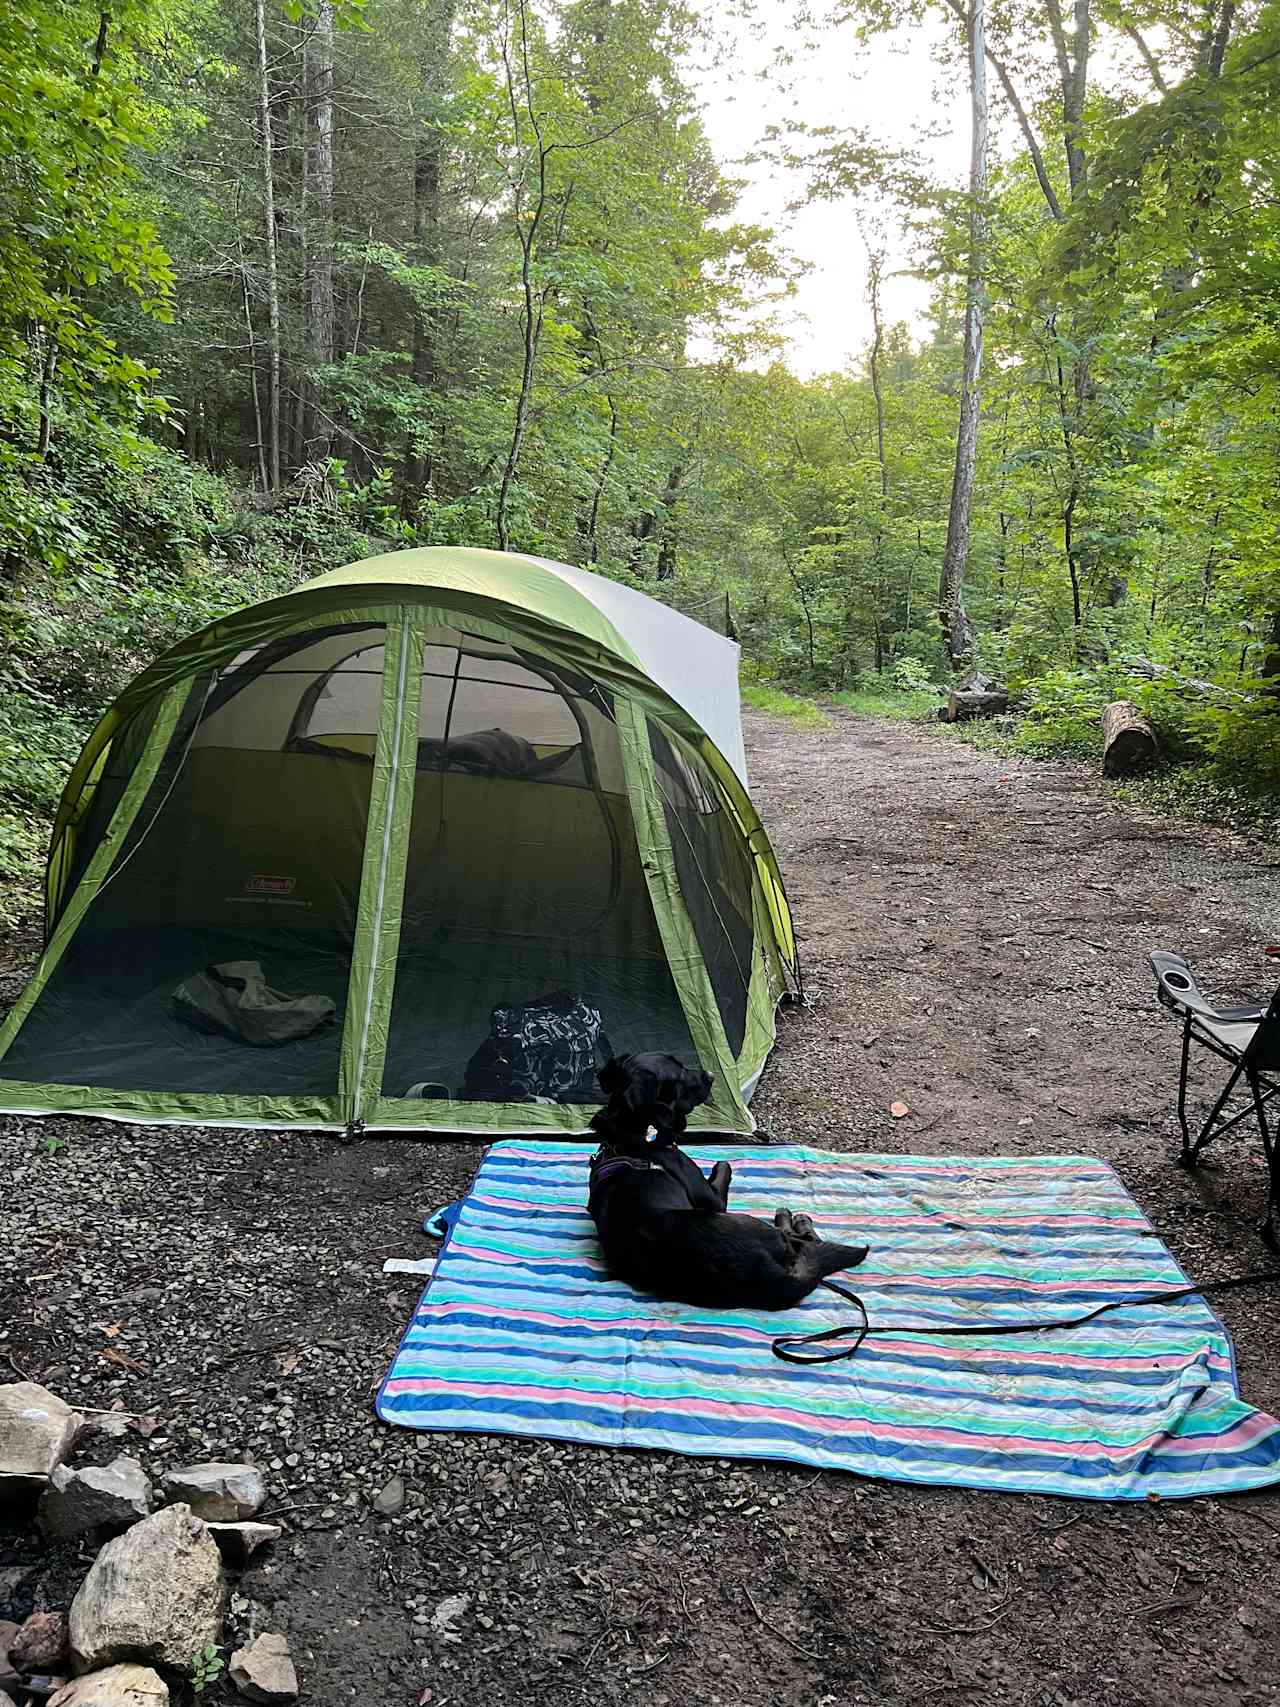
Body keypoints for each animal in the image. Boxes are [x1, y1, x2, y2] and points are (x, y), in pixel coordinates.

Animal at [590, 1044, 873, 1310]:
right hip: (754, 1225)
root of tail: (769, 1277)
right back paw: (796, 1221)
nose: (712, 1075)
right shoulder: (712, 1200)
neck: (628, 1138)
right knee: (807, 1241)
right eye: (679, 1073)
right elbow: (725, 1164)